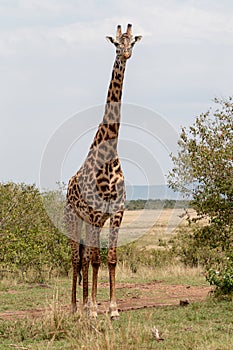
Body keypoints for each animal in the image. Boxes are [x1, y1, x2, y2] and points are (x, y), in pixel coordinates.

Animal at [65, 21, 142, 318]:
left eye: (132, 42)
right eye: (116, 43)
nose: (125, 54)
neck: (108, 157)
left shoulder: (116, 213)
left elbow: (110, 258)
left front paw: (112, 308)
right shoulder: (96, 215)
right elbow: (94, 258)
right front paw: (93, 309)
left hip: (88, 221)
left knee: (85, 258)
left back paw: (86, 303)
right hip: (73, 218)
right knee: (77, 258)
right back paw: (76, 307)